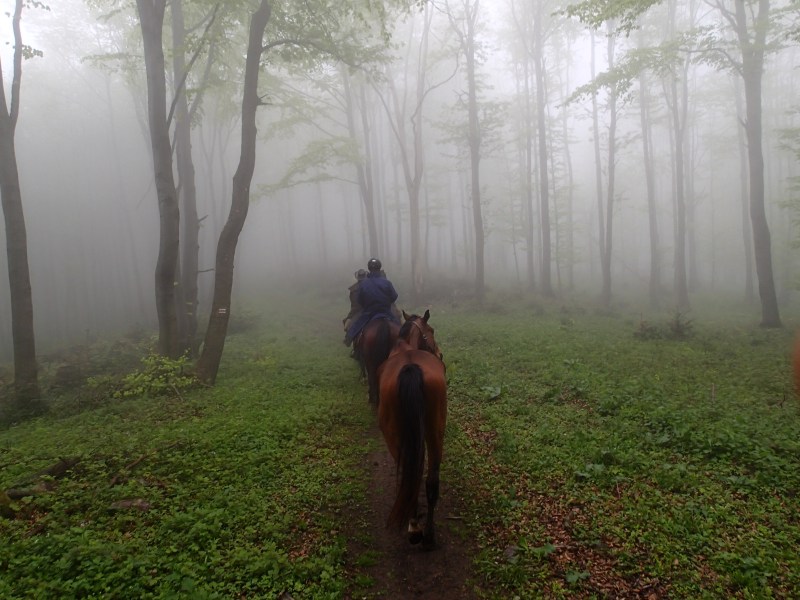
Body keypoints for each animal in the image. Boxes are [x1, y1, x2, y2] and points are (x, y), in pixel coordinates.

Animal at [377, 309, 446, 550]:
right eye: (432, 330)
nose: (440, 354)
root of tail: (410, 368)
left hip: (395, 438)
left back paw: (415, 530)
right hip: (435, 432)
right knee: (429, 480)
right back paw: (429, 535)